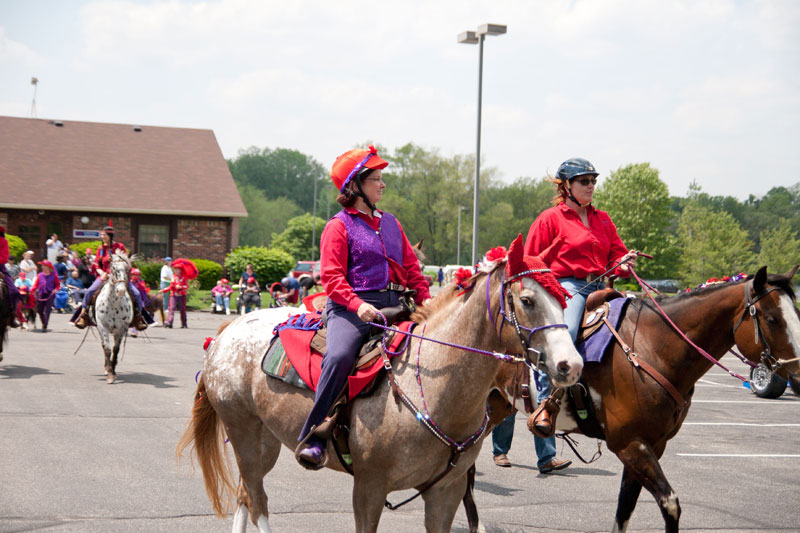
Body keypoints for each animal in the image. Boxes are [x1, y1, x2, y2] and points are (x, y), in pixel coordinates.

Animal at [94, 249, 134, 382]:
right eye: (113, 268)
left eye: (127, 269)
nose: (121, 291)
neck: (113, 305)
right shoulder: (103, 326)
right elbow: (107, 349)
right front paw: (110, 374)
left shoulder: (121, 328)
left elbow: (116, 349)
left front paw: (113, 371)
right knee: (103, 345)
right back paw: (107, 368)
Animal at [178, 239, 584, 528]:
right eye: (527, 300)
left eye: (563, 300)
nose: (572, 365)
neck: (436, 391)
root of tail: (227, 330)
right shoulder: (369, 489)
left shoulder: (446, 493)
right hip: (242, 430)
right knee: (258, 501)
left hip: (265, 440)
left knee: (246, 494)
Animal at [496, 266, 796, 532]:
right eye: (772, 319)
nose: (797, 370)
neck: (650, 348)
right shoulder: (630, 444)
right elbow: (669, 503)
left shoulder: (651, 445)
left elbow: (625, 508)